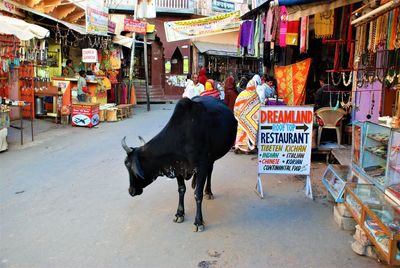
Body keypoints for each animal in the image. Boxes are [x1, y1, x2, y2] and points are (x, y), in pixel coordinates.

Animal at [120, 97, 236, 232]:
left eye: (128, 166)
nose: (131, 191)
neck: (182, 137)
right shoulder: (177, 167)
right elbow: (181, 189)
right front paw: (179, 214)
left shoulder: (202, 165)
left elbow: (198, 194)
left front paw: (198, 222)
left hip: (212, 158)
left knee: (210, 172)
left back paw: (208, 192)